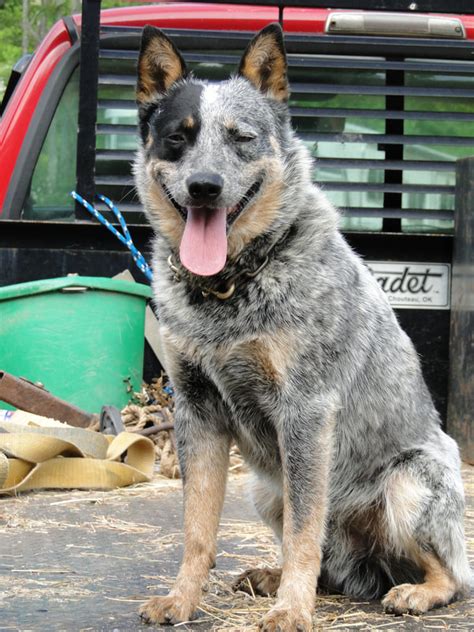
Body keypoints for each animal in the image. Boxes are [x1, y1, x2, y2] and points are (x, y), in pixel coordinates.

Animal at [133, 22, 470, 628]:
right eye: (177, 137)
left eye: (242, 137)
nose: (204, 186)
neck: (231, 286)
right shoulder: (196, 409)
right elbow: (198, 528)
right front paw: (182, 599)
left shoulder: (306, 411)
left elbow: (304, 530)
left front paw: (293, 610)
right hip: (266, 490)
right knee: (332, 564)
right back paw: (275, 577)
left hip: (407, 483)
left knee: (450, 574)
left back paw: (413, 592)